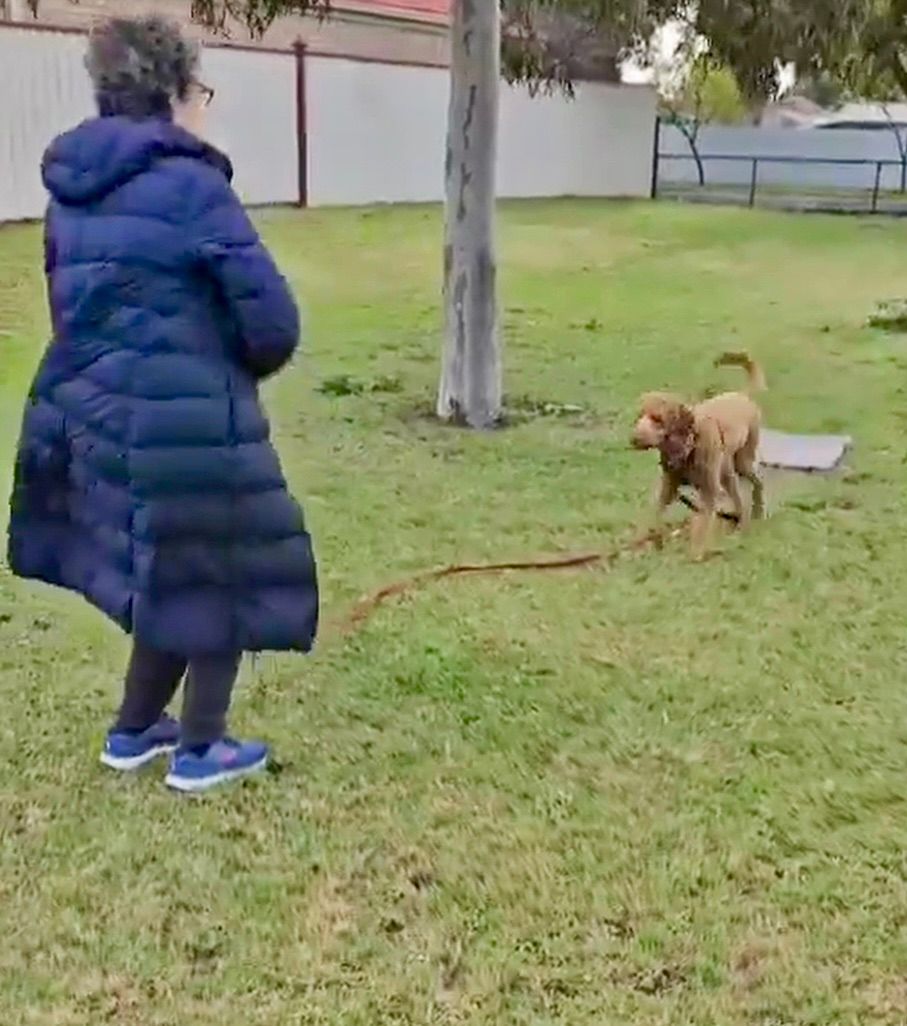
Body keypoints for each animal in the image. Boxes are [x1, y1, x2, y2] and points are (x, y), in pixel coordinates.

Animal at [632, 352, 763, 562]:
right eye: (638, 416)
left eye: (657, 419)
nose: (634, 439)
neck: (688, 445)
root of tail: (742, 394)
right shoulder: (669, 487)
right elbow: (655, 514)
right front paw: (645, 541)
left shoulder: (709, 491)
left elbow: (701, 524)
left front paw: (696, 551)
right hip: (727, 471)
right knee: (738, 496)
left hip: (742, 461)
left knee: (757, 483)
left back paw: (753, 515)